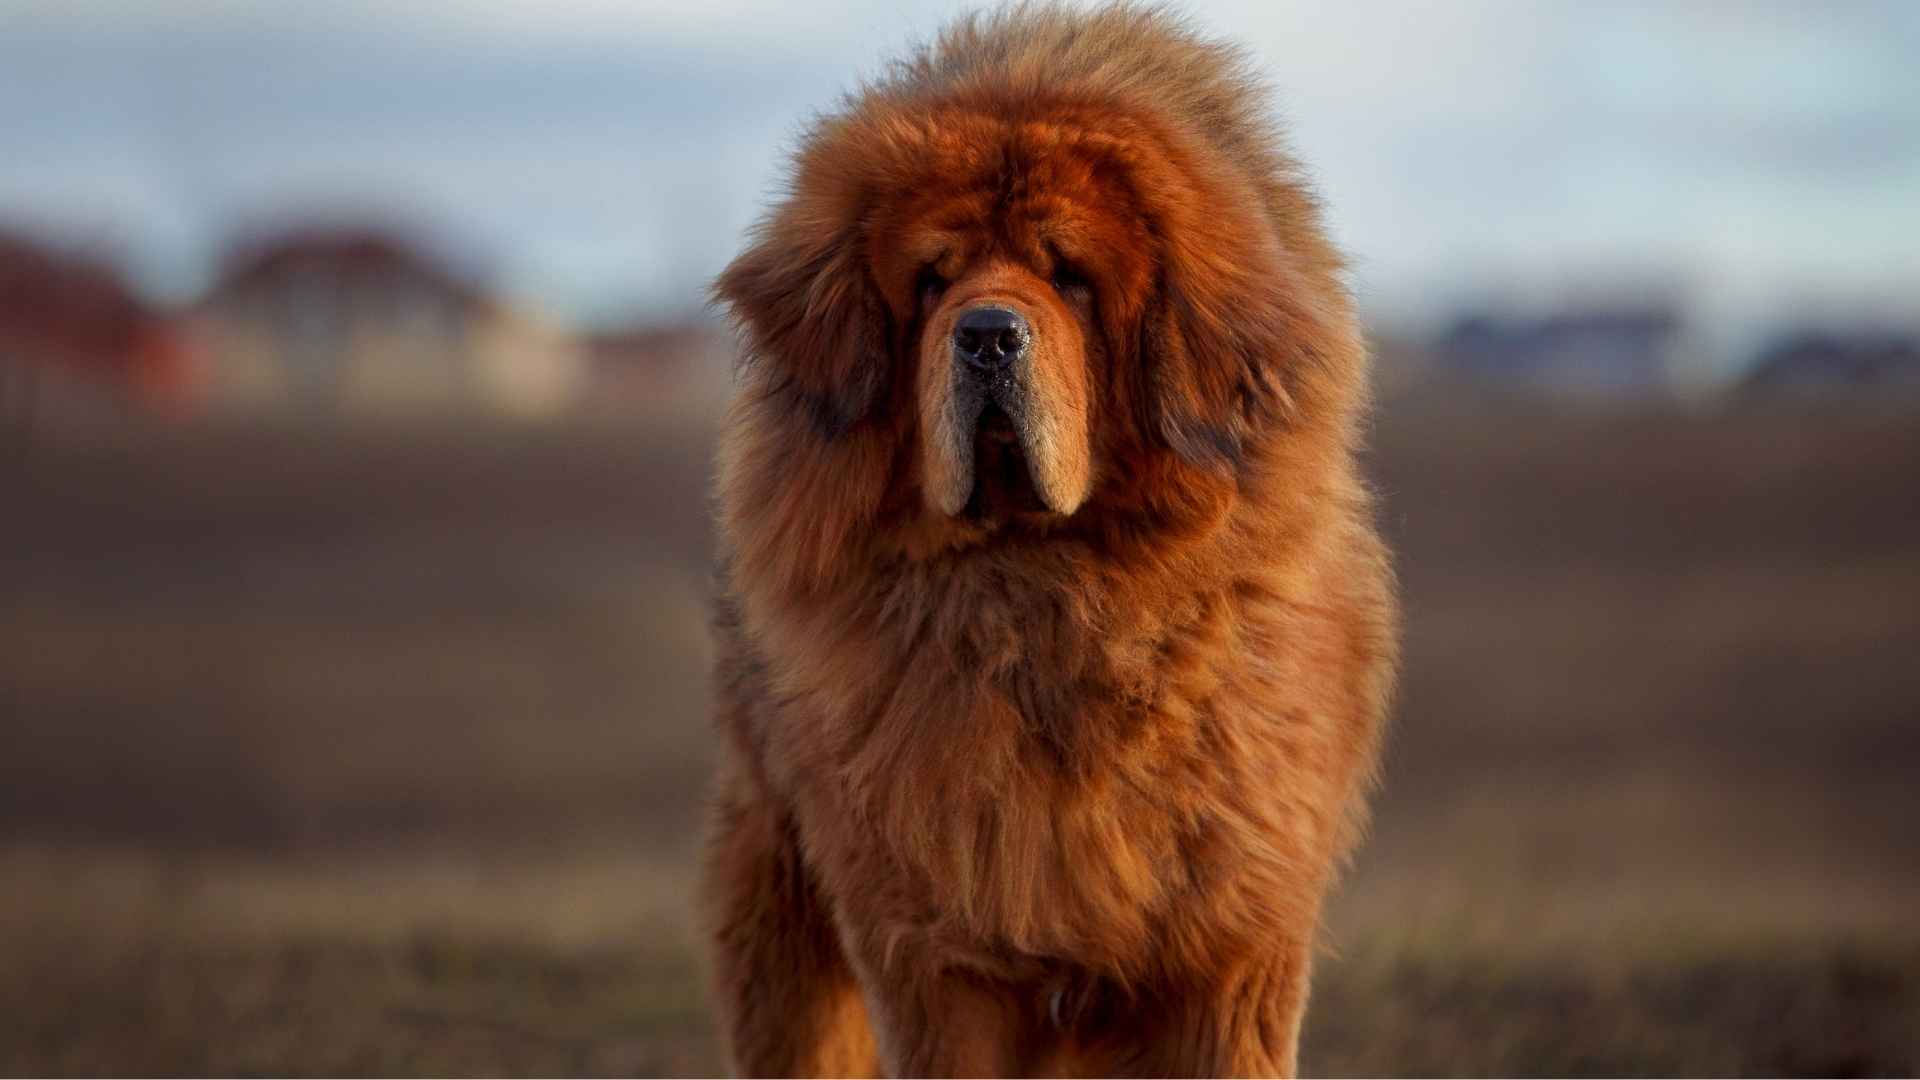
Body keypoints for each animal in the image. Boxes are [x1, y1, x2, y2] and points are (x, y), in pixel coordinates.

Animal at [706, 4, 1397, 1068]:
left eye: (1070, 278)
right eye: (933, 280)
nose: (988, 332)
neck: (1046, 600)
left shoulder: (1230, 950)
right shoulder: (937, 954)